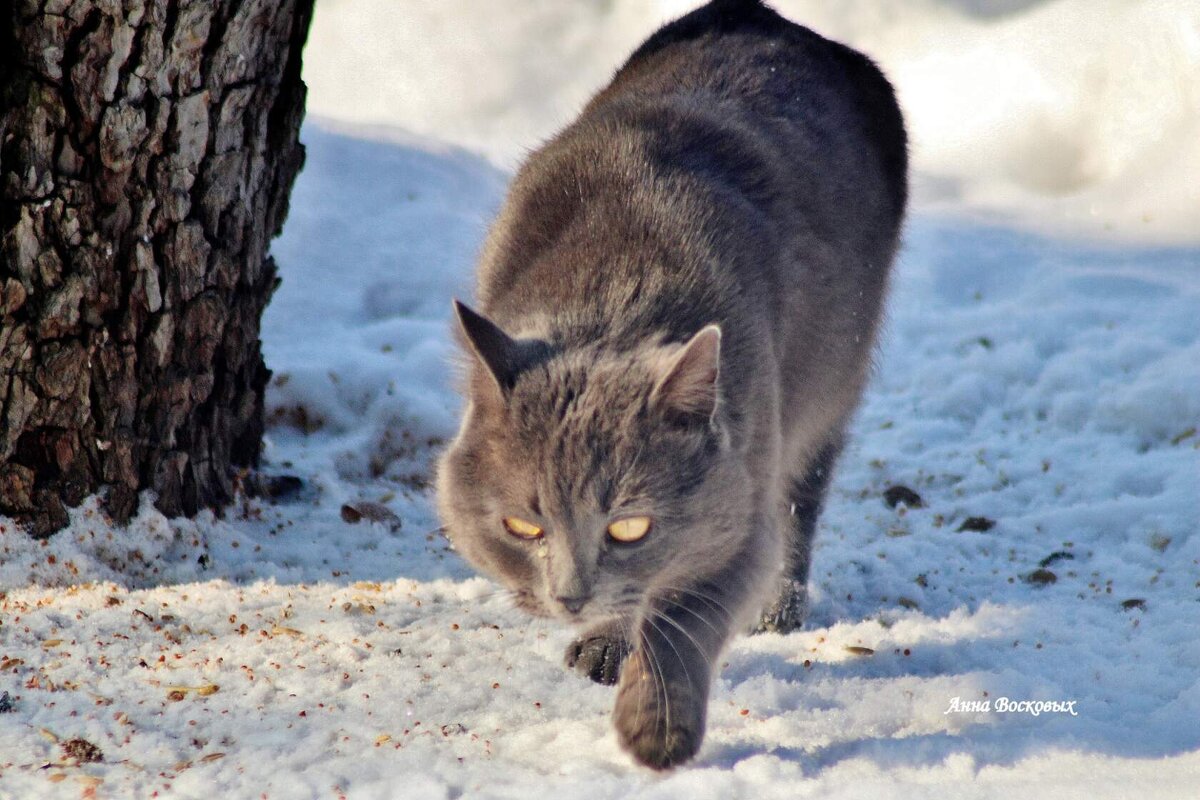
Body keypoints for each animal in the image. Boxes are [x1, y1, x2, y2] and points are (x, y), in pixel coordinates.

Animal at [436, 0, 902, 767]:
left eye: (629, 525)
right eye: (523, 525)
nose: (570, 596)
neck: (616, 288)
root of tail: (770, 18)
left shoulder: (744, 498)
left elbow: (683, 613)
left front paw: (655, 728)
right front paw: (606, 649)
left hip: (834, 382)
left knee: (805, 496)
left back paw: (780, 612)